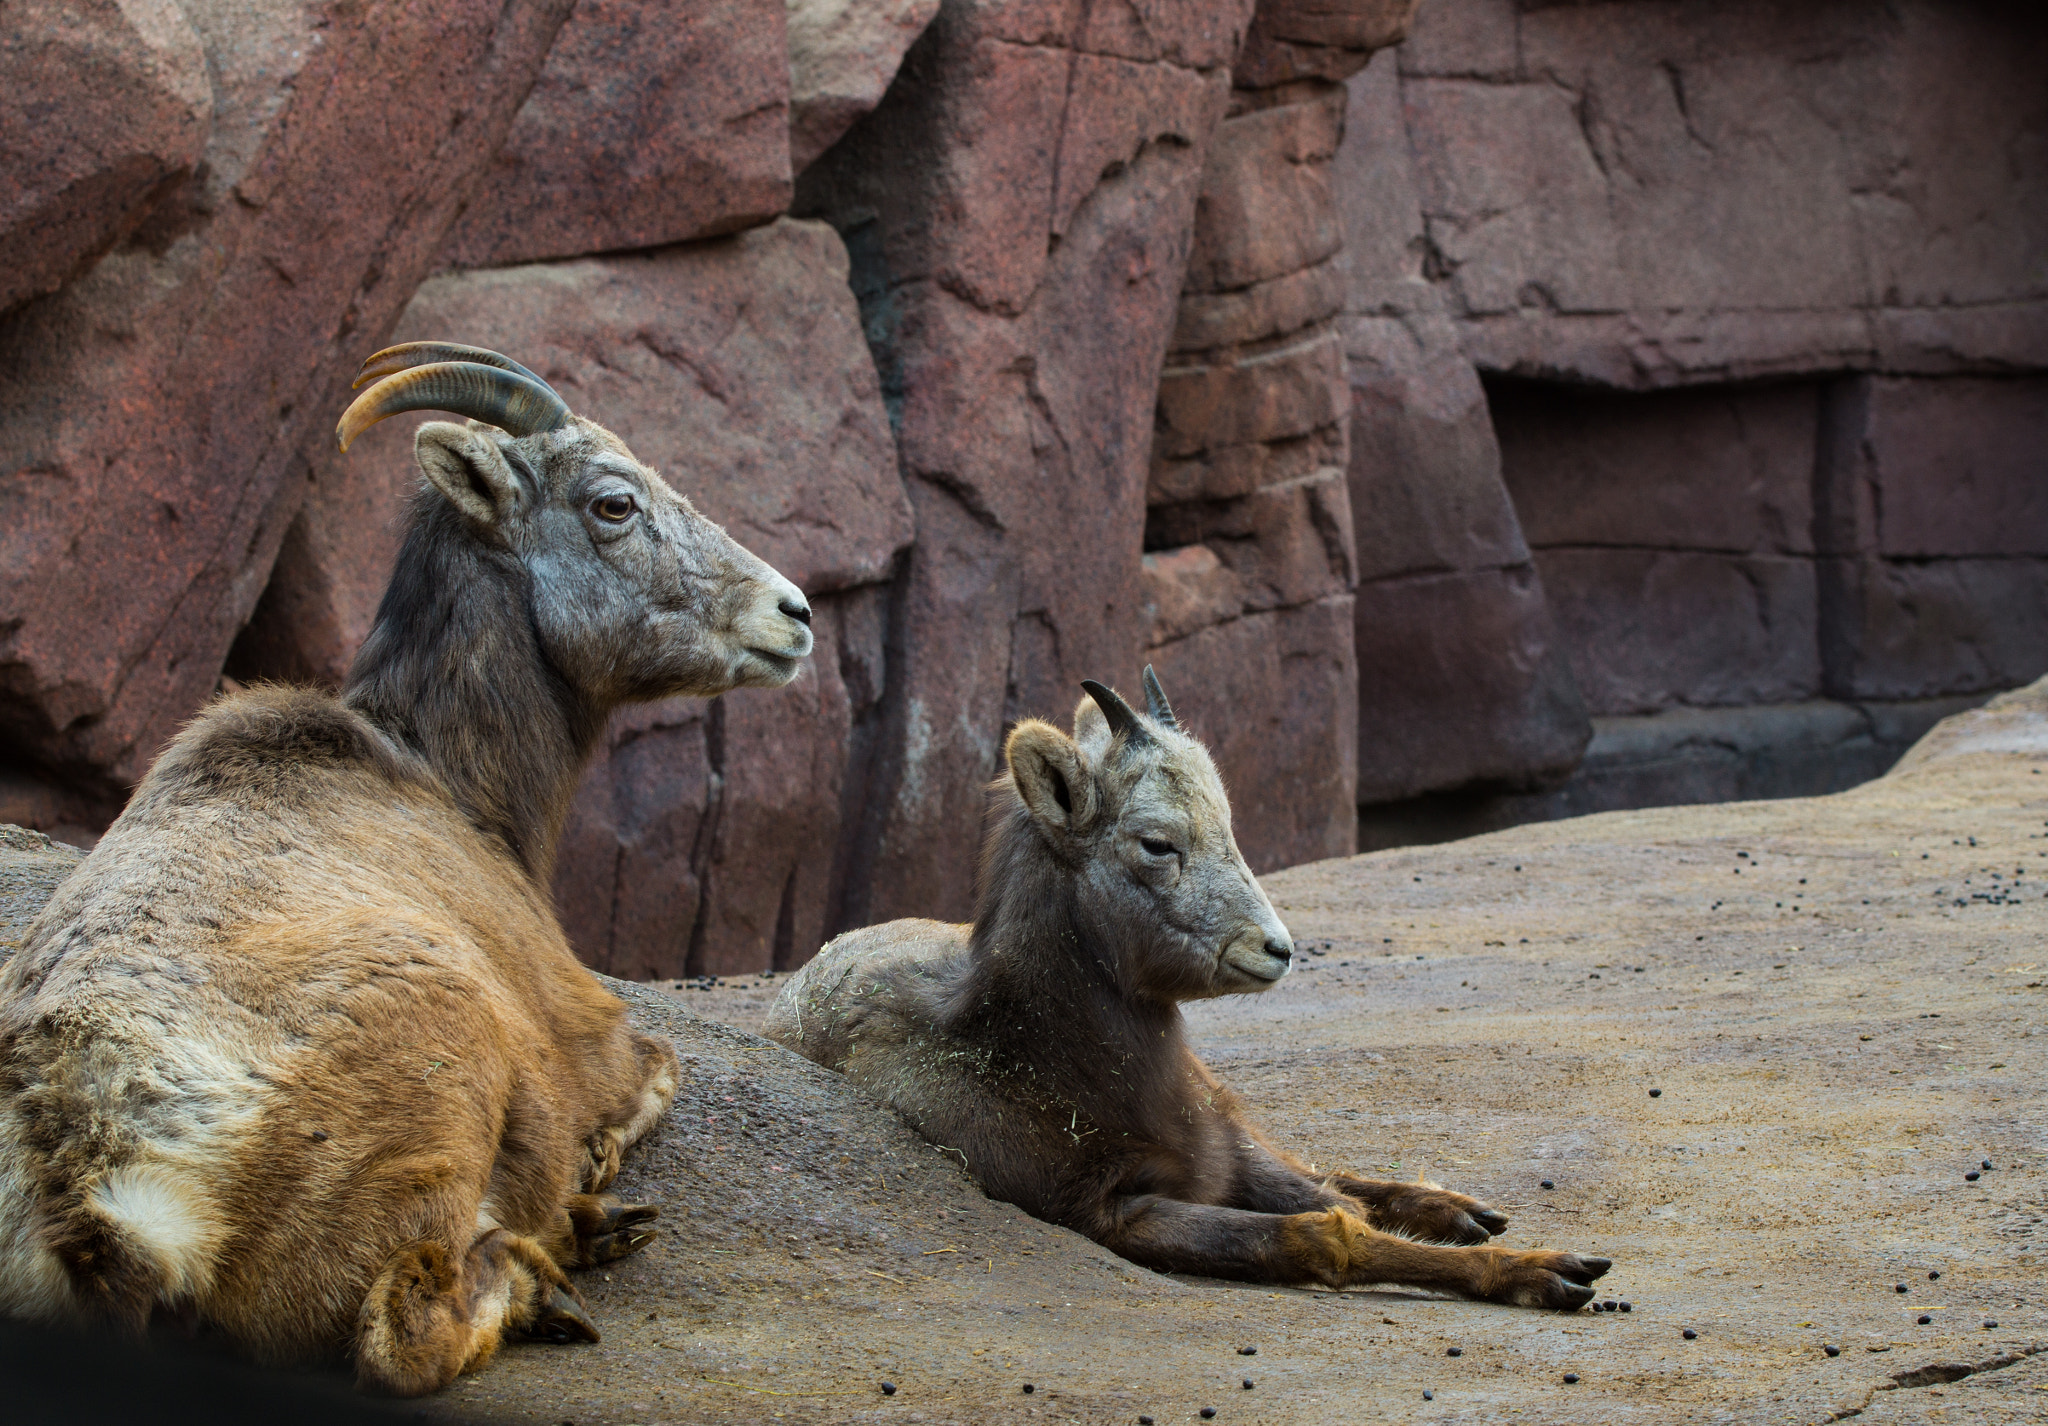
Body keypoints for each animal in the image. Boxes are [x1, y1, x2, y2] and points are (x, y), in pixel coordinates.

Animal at [0, 346, 815, 1393]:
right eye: (613, 503)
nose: (792, 614)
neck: (441, 778)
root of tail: (108, 1202)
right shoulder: (596, 1034)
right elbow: (661, 1068)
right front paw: (590, 1168)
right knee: (405, 1327)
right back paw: (568, 1253)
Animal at [770, 672, 1613, 1311]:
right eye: (1157, 842)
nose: (1277, 949)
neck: (1017, 1060)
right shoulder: (1112, 1215)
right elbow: (1330, 1230)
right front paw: (1556, 1275)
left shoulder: (1224, 1151)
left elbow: (1331, 1200)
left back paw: (1467, 1212)